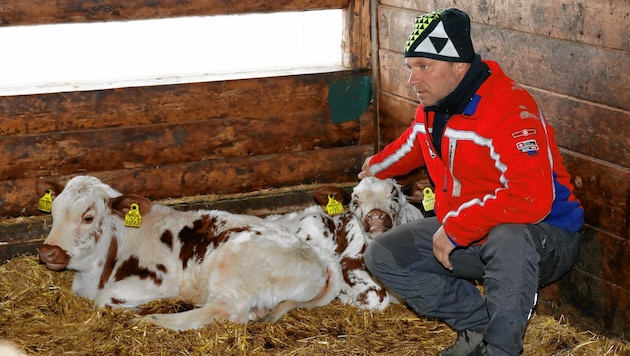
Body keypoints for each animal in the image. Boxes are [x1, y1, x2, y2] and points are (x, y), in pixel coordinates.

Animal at [37, 175, 344, 330]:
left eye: (88, 217)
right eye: (53, 211)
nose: (48, 252)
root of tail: (319, 256)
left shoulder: (158, 280)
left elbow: (103, 301)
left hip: (231, 265)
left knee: (227, 311)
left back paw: (152, 318)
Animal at [266, 177, 424, 310]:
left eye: (395, 196)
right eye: (355, 203)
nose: (374, 217)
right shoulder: (347, 263)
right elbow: (377, 299)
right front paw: (346, 297)